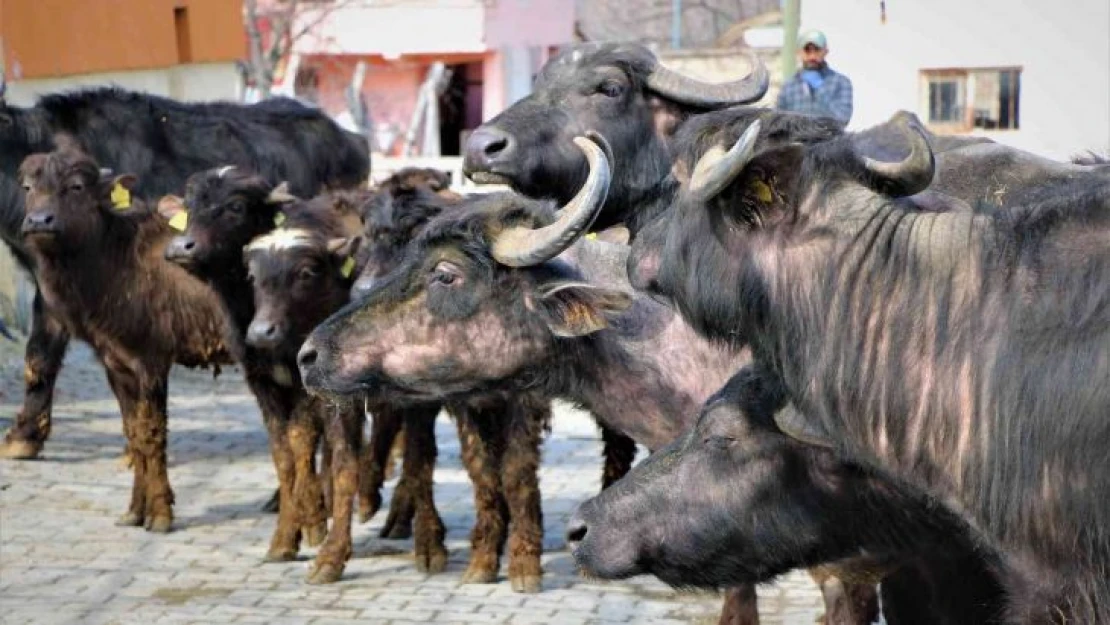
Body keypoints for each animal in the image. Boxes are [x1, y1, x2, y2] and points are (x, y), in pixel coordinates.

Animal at [0, 86, 372, 459]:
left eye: (76, 186)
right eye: (28, 186)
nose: (38, 221)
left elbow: (43, 354)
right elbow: (40, 356)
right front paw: (24, 436)